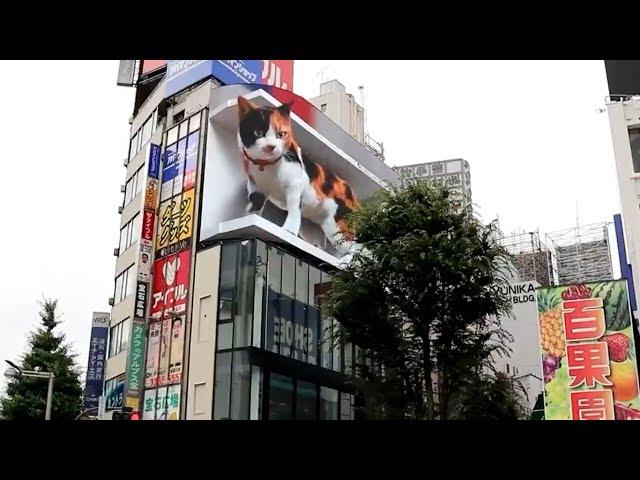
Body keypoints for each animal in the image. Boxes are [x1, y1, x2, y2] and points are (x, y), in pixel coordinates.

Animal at [238, 95, 360, 256]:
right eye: (258, 132)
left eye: (281, 134)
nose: (271, 146)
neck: (267, 167)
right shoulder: (255, 187)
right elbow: (254, 203)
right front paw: (247, 223)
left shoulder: (295, 185)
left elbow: (294, 207)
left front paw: (288, 231)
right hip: (320, 225)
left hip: (338, 223)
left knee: (357, 247)